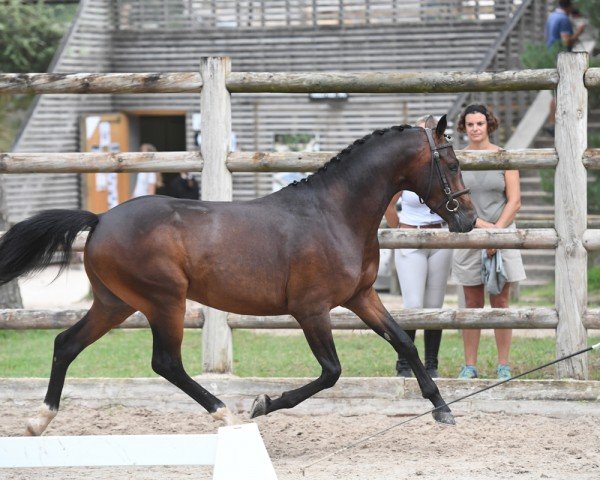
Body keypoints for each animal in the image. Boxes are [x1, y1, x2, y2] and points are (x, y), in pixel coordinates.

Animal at [2, 113, 476, 436]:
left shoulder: (361, 297)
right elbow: (331, 371)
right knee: (165, 362)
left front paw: (442, 408)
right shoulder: (311, 310)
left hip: (114, 303)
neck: (334, 213)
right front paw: (262, 404)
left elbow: (402, 342)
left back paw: (38, 421)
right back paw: (227, 414)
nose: (468, 219)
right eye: (452, 164)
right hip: (164, 301)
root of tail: (100, 220)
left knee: (66, 344)